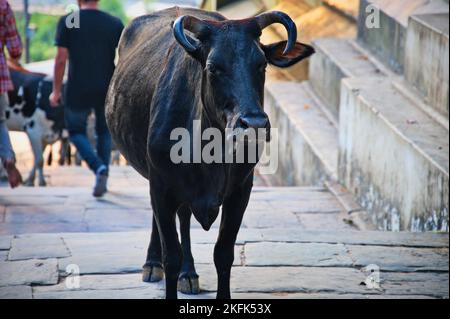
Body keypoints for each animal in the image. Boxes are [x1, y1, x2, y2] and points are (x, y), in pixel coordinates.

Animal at [107, 6, 314, 300]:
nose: (254, 124)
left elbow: (223, 253)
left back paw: (189, 274)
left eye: (261, 64)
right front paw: (164, 264)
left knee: (183, 218)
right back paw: (152, 264)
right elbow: (171, 253)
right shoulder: (161, 186)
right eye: (213, 67)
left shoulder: (241, 190)